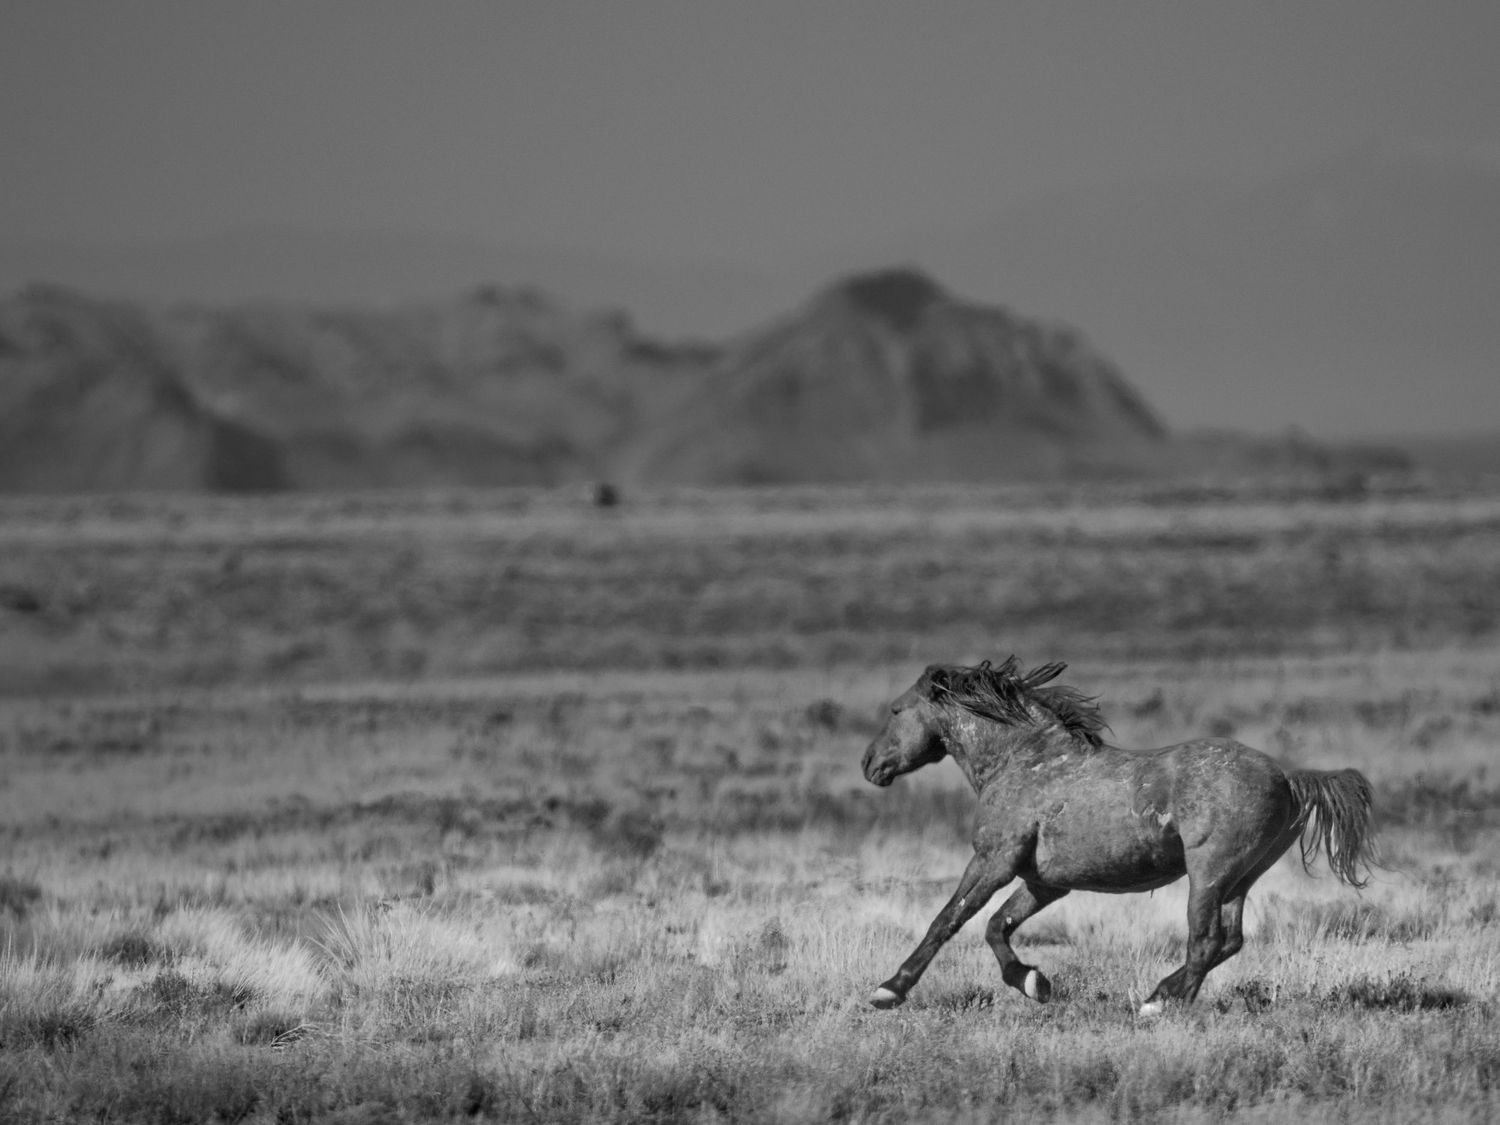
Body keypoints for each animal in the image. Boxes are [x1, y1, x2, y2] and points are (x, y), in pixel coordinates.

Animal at [860, 657, 1378, 1016]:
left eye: (897, 709)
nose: (869, 764)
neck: (1023, 761)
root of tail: (1288, 778)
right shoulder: (1045, 881)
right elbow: (996, 926)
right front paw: (1032, 982)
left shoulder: (993, 861)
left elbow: (948, 920)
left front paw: (889, 989)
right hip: (1241, 879)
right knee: (1229, 940)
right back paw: (1162, 993)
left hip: (1209, 873)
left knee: (1205, 940)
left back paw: (1158, 1004)